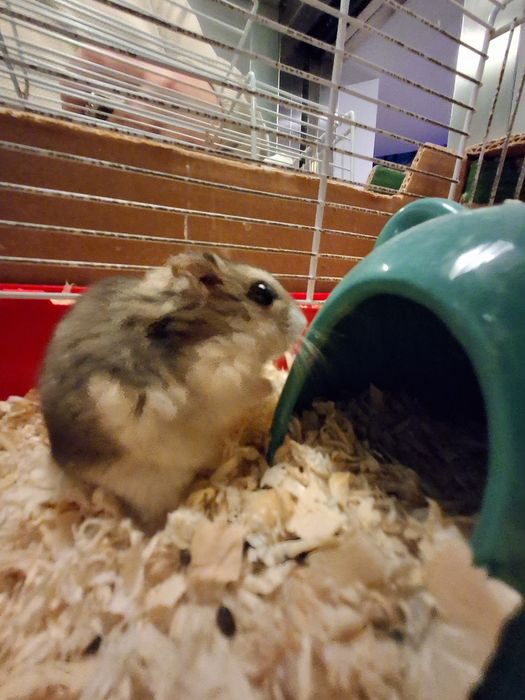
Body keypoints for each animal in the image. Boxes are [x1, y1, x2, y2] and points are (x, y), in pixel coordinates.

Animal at [39, 252, 306, 529]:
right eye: (262, 292)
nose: (304, 321)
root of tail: (68, 467)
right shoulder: (221, 377)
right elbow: (249, 387)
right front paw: (272, 385)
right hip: (150, 483)